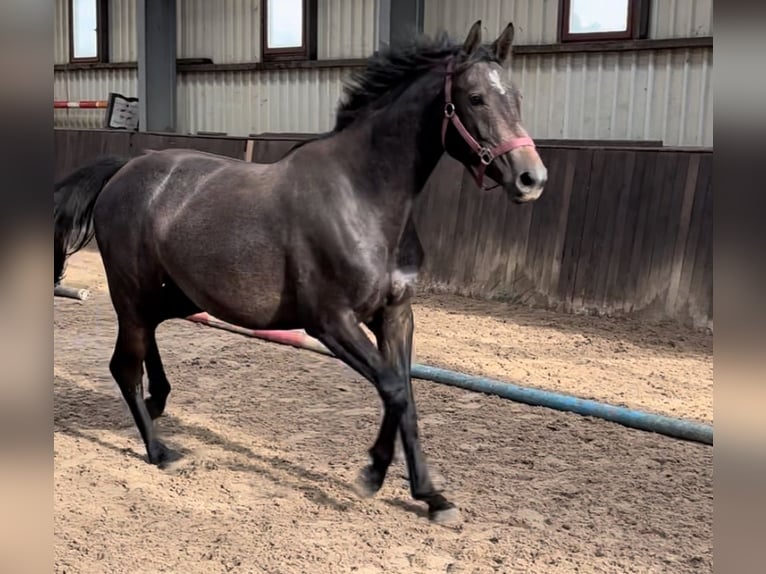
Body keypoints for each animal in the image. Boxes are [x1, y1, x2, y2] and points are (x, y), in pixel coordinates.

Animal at [52, 21, 544, 528]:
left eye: (516, 96)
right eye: (474, 98)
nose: (532, 178)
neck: (362, 197)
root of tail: (125, 168)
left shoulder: (395, 316)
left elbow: (403, 393)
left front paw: (428, 494)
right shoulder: (330, 323)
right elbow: (392, 387)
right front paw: (374, 475)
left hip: (176, 295)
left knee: (148, 337)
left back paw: (160, 401)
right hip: (131, 293)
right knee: (123, 366)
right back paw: (160, 450)